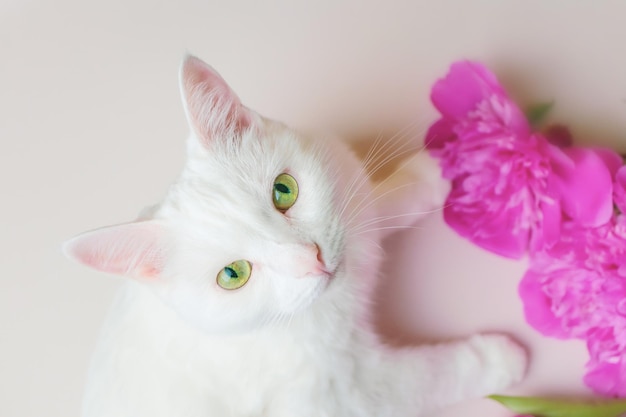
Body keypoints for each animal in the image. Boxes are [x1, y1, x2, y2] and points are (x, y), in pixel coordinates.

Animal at [63, 56, 524, 416]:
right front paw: (498, 360)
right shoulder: (345, 393)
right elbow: (426, 378)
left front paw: (427, 175)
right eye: (233, 274)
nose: (311, 257)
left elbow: (372, 203)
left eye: (284, 191)